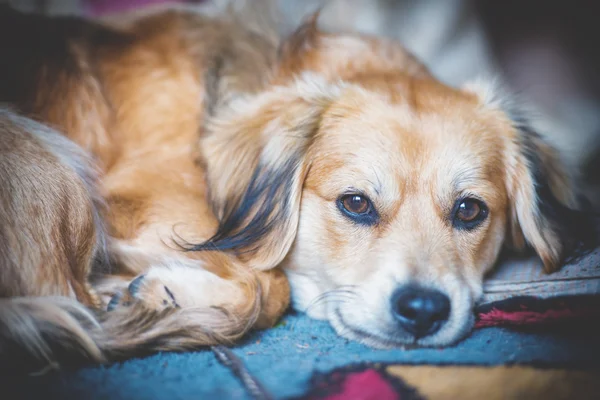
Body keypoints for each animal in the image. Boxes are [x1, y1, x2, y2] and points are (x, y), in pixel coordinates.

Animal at [0, 3, 596, 372]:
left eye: (470, 211)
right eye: (355, 203)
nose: (424, 310)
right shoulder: (137, 200)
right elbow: (266, 286)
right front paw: (161, 293)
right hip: (54, 166)